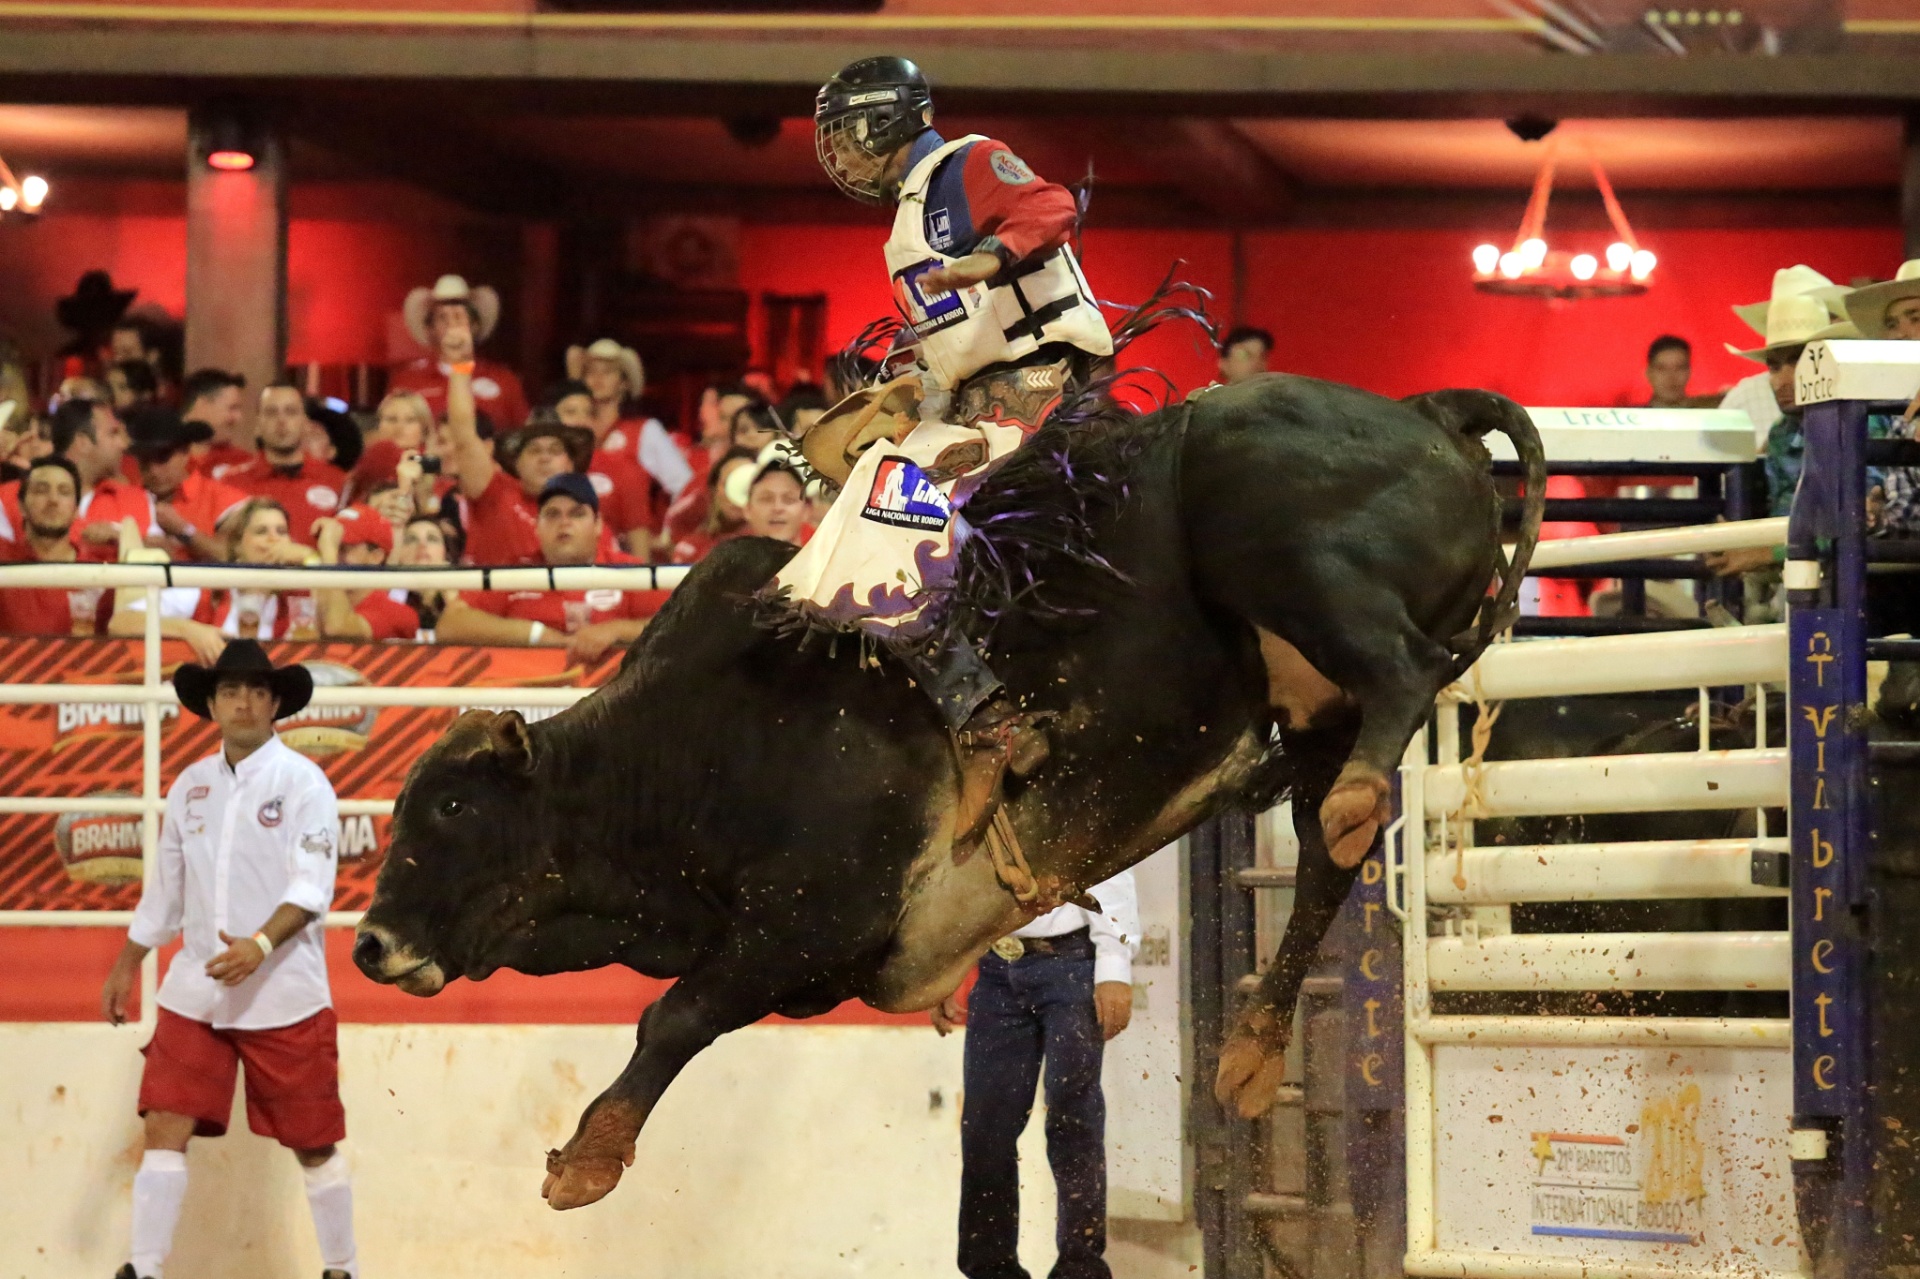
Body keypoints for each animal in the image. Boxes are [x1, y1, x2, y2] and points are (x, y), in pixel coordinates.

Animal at [349, 368, 1543, 1206]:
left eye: (451, 808)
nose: (369, 945)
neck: (694, 744)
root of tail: (1424, 409)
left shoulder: (810, 917)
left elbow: (673, 1015)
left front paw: (585, 1162)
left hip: (1279, 541)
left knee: (1392, 685)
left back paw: (1344, 823)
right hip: (1307, 708)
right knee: (1332, 859)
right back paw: (1250, 1051)